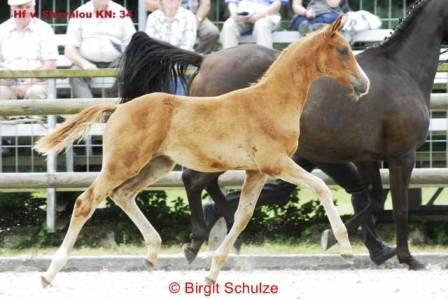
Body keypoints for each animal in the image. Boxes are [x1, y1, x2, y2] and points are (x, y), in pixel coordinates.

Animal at [118, 0, 448, 272]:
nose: (362, 86)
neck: (401, 71)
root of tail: (205, 60)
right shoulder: (401, 156)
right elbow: (399, 208)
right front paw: (408, 258)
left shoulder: (368, 157)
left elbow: (375, 201)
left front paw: (345, 242)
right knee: (193, 180)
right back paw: (203, 238)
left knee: (208, 184)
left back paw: (221, 234)